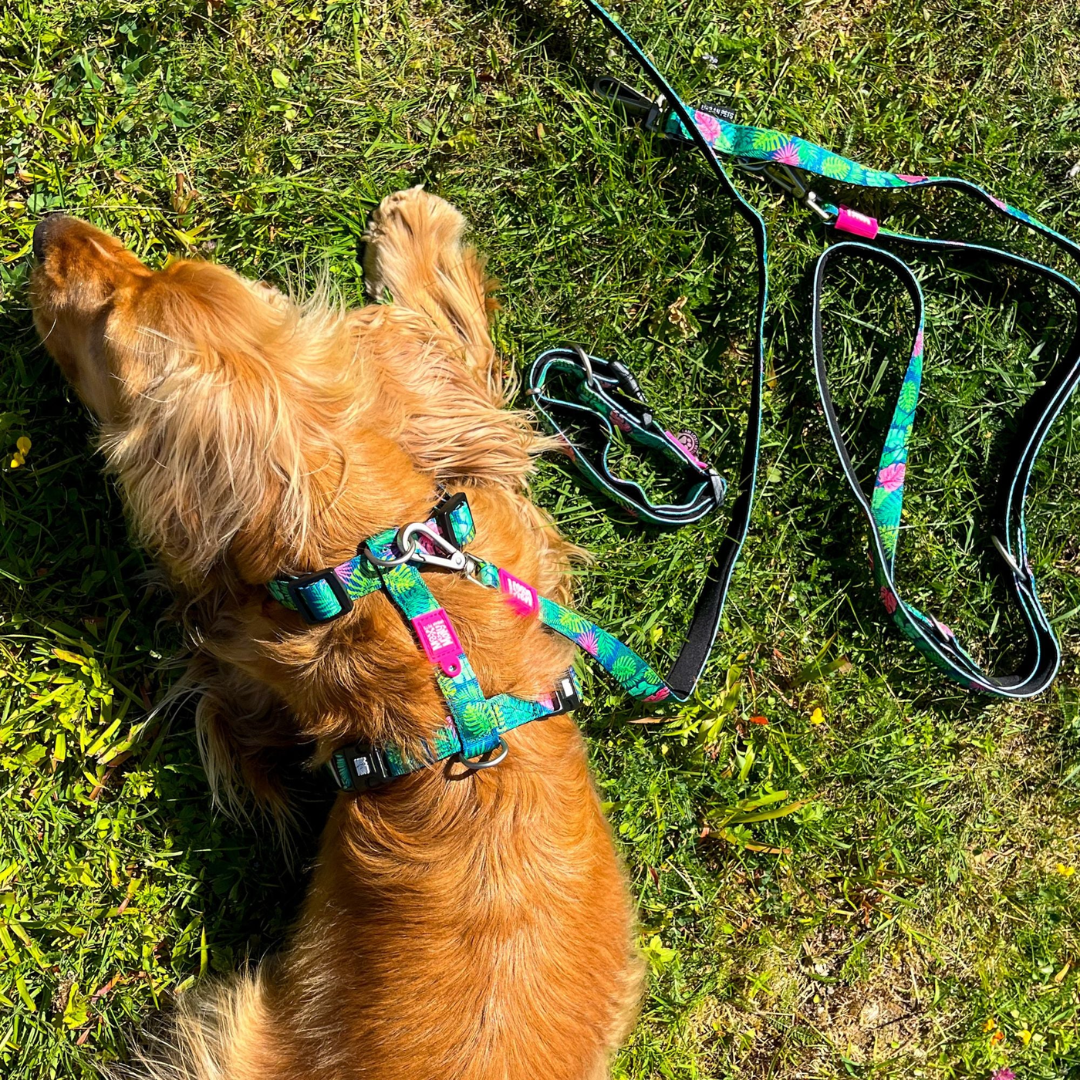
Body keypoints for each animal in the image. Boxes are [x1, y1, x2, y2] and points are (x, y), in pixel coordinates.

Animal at [29, 190, 643, 1080]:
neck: (381, 562)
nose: (47, 232)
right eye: (153, 265)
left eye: (109, 320)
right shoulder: (502, 526)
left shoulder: (254, 658)